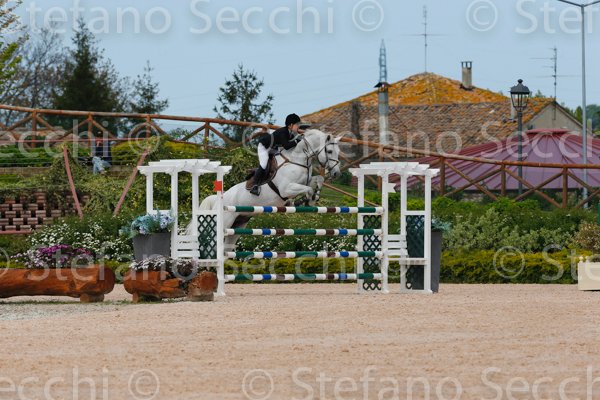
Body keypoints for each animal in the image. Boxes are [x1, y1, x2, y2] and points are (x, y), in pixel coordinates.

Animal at [199, 130, 342, 250]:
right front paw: (305, 201)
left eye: (338, 151)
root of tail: (218, 199)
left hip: (239, 223)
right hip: (225, 222)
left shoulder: (306, 180)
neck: (298, 159)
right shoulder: (286, 188)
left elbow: (318, 179)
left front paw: (314, 197)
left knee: (226, 248)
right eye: (329, 151)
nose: (336, 174)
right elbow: (308, 189)